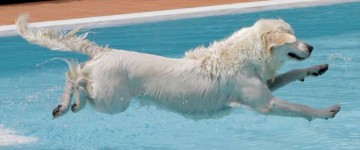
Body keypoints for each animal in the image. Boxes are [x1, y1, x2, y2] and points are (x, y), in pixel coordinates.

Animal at [14, 14, 340, 121]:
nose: (311, 48)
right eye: (293, 38)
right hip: (113, 100)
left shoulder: (264, 87)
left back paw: (64, 106)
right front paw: (326, 112)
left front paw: (317, 68)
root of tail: (104, 53)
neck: (246, 54)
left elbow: (290, 74)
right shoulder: (266, 103)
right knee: (74, 75)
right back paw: (72, 101)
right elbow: (300, 107)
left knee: (76, 75)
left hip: (109, 98)